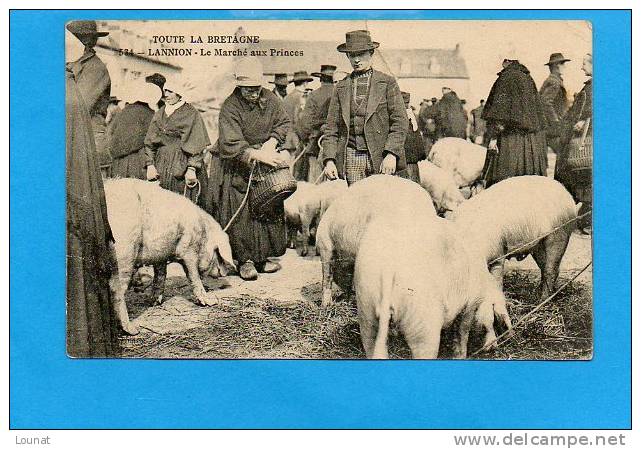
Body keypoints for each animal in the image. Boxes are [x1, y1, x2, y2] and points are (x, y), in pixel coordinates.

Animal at [105, 178, 235, 332]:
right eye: (217, 252)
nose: (224, 273)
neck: (203, 232)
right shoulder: (189, 249)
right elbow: (193, 275)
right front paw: (210, 302)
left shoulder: (160, 253)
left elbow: (161, 275)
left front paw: (155, 302)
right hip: (125, 251)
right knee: (115, 288)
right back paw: (132, 329)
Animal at [356, 215, 510, 358]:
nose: (492, 347)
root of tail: (389, 265)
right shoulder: (471, 302)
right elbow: (462, 331)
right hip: (423, 318)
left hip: (366, 305)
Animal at [450, 174, 580, 298]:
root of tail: (570, 200)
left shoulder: (498, 253)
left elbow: (497, 280)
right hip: (539, 245)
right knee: (547, 267)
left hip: (560, 234)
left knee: (550, 269)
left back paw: (543, 299)